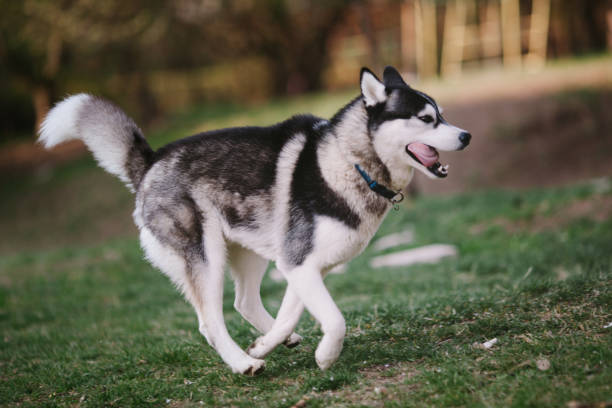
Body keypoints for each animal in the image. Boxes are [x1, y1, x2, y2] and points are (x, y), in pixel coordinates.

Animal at [39, 67, 468, 376]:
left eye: (443, 115)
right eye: (426, 118)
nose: (465, 136)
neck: (350, 162)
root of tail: (151, 161)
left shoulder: (302, 266)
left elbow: (291, 312)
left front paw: (271, 341)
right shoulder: (300, 263)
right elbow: (336, 319)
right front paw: (326, 357)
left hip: (252, 249)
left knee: (242, 302)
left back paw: (275, 343)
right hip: (207, 257)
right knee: (210, 322)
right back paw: (243, 364)